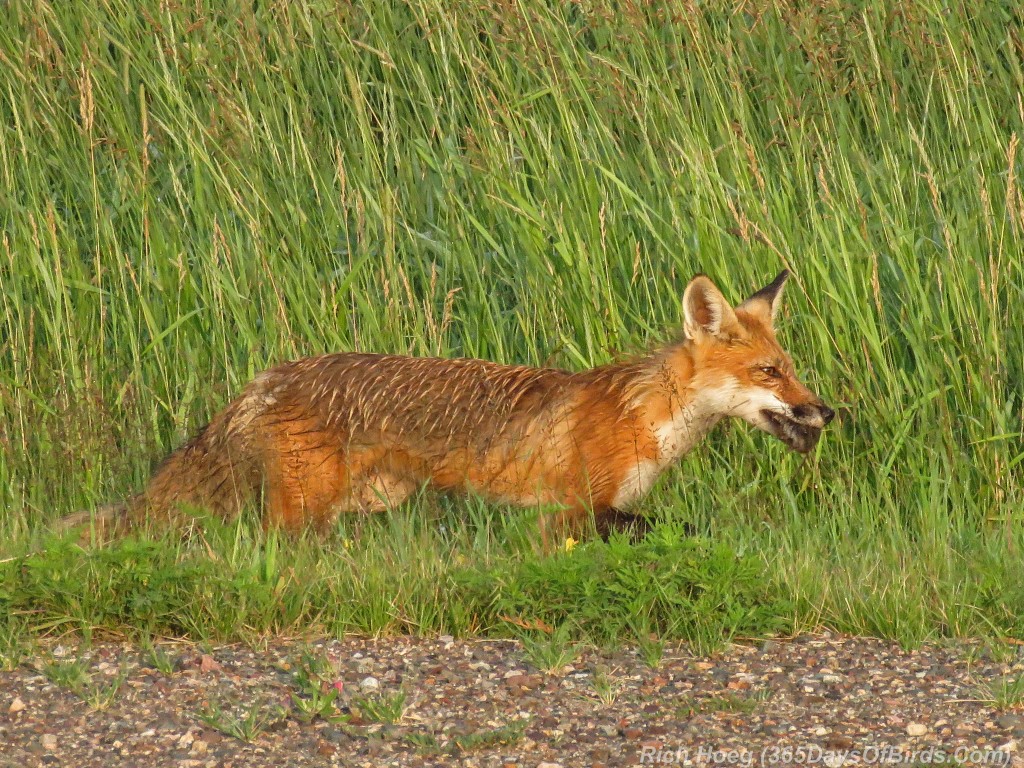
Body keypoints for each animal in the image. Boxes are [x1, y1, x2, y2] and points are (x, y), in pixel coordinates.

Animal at [61, 270, 831, 548]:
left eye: (792, 370)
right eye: (770, 372)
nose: (825, 412)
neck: (646, 415)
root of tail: (271, 374)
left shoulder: (590, 514)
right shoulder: (573, 509)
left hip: (361, 501)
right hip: (305, 511)